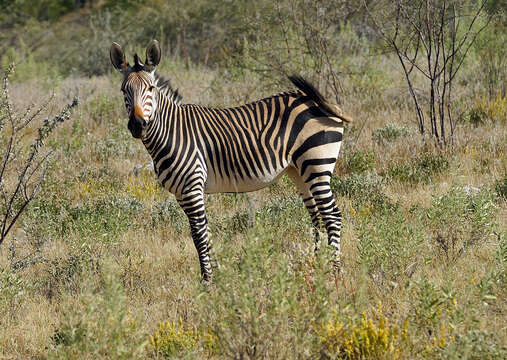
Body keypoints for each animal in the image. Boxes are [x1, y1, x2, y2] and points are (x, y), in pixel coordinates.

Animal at [109, 39, 354, 282]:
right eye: (123, 90)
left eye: (150, 89)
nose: (137, 125)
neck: (171, 133)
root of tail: (316, 99)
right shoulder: (182, 193)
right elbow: (204, 234)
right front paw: (217, 273)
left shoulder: (192, 187)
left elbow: (198, 234)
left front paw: (207, 281)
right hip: (299, 171)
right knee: (317, 217)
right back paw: (315, 268)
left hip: (317, 163)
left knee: (332, 216)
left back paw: (333, 273)